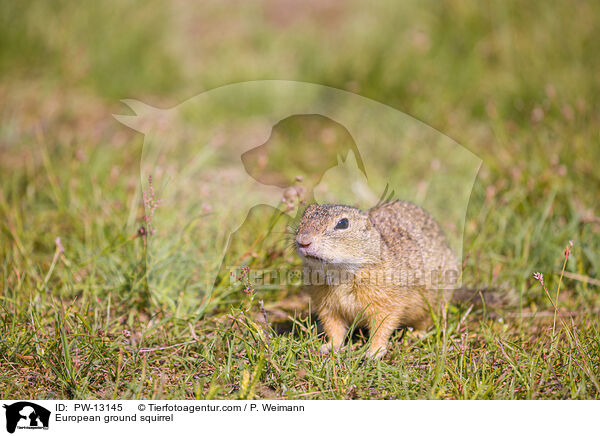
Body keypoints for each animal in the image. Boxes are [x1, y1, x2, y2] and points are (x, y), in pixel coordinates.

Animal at [298, 201, 462, 358]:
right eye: (305, 213)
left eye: (343, 223)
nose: (303, 241)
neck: (341, 273)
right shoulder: (326, 305)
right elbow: (334, 327)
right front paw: (329, 346)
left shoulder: (385, 301)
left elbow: (382, 325)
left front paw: (374, 352)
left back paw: (416, 334)